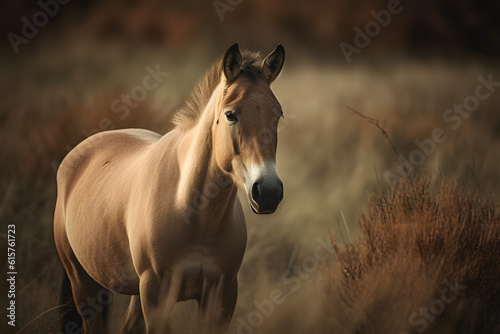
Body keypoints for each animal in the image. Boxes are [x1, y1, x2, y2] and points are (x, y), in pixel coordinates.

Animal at [53, 43, 286, 332]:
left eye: (278, 114)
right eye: (230, 114)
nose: (268, 192)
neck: (192, 211)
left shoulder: (222, 295)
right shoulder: (156, 295)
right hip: (85, 286)